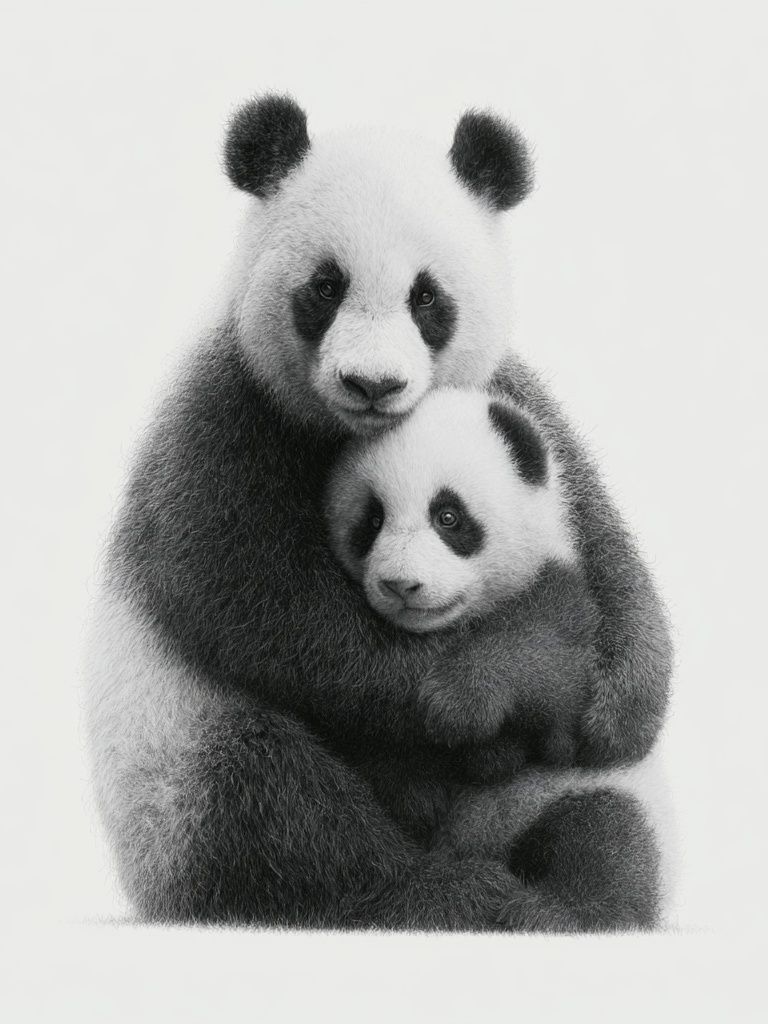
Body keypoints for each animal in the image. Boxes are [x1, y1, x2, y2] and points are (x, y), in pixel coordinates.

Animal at [85, 95, 673, 932]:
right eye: (325, 288)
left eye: (427, 298)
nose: (373, 384)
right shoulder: (228, 417)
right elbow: (262, 598)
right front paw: (491, 689)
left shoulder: (508, 394)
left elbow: (599, 533)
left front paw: (621, 706)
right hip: (173, 751)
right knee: (278, 815)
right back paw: (444, 896)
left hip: (549, 798)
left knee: (604, 823)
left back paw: (575, 894)